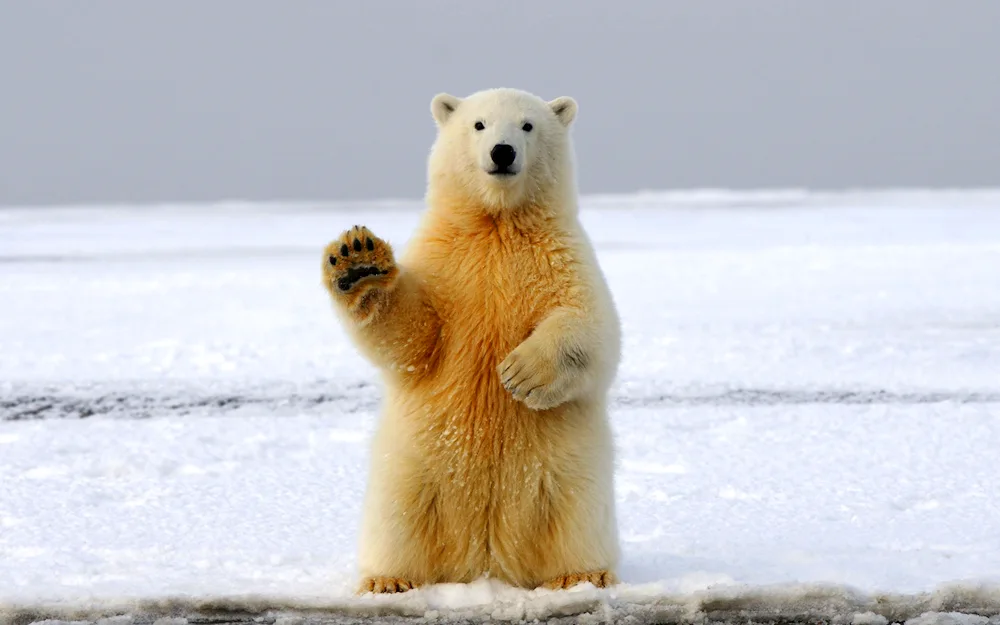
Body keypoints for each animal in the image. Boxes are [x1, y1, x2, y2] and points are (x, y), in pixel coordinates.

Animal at [320, 86, 620, 588]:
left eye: (527, 125)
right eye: (479, 124)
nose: (502, 152)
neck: (496, 223)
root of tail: (485, 561)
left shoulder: (562, 257)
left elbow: (592, 327)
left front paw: (521, 373)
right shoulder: (445, 262)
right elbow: (414, 336)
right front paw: (358, 261)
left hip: (568, 470)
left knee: (575, 514)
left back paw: (581, 576)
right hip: (411, 468)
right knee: (398, 518)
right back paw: (389, 579)